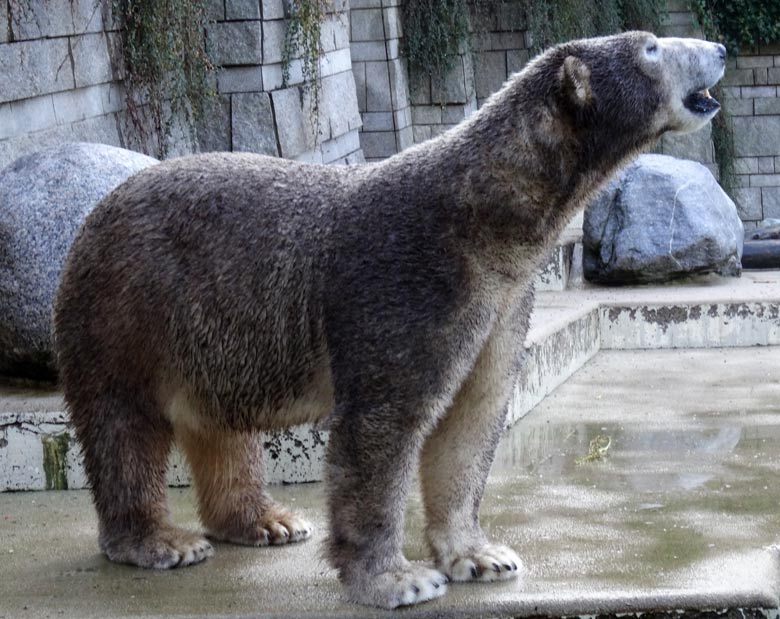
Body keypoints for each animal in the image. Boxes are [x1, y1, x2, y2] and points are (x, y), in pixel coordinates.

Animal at [53, 31, 724, 608]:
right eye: (651, 48)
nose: (718, 49)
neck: (484, 215)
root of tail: (92, 217)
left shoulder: (501, 300)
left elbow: (473, 417)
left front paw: (481, 555)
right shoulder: (409, 278)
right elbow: (385, 422)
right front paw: (395, 579)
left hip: (208, 325)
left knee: (218, 419)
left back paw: (268, 521)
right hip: (128, 306)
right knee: (125, 422)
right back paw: (160, 541)